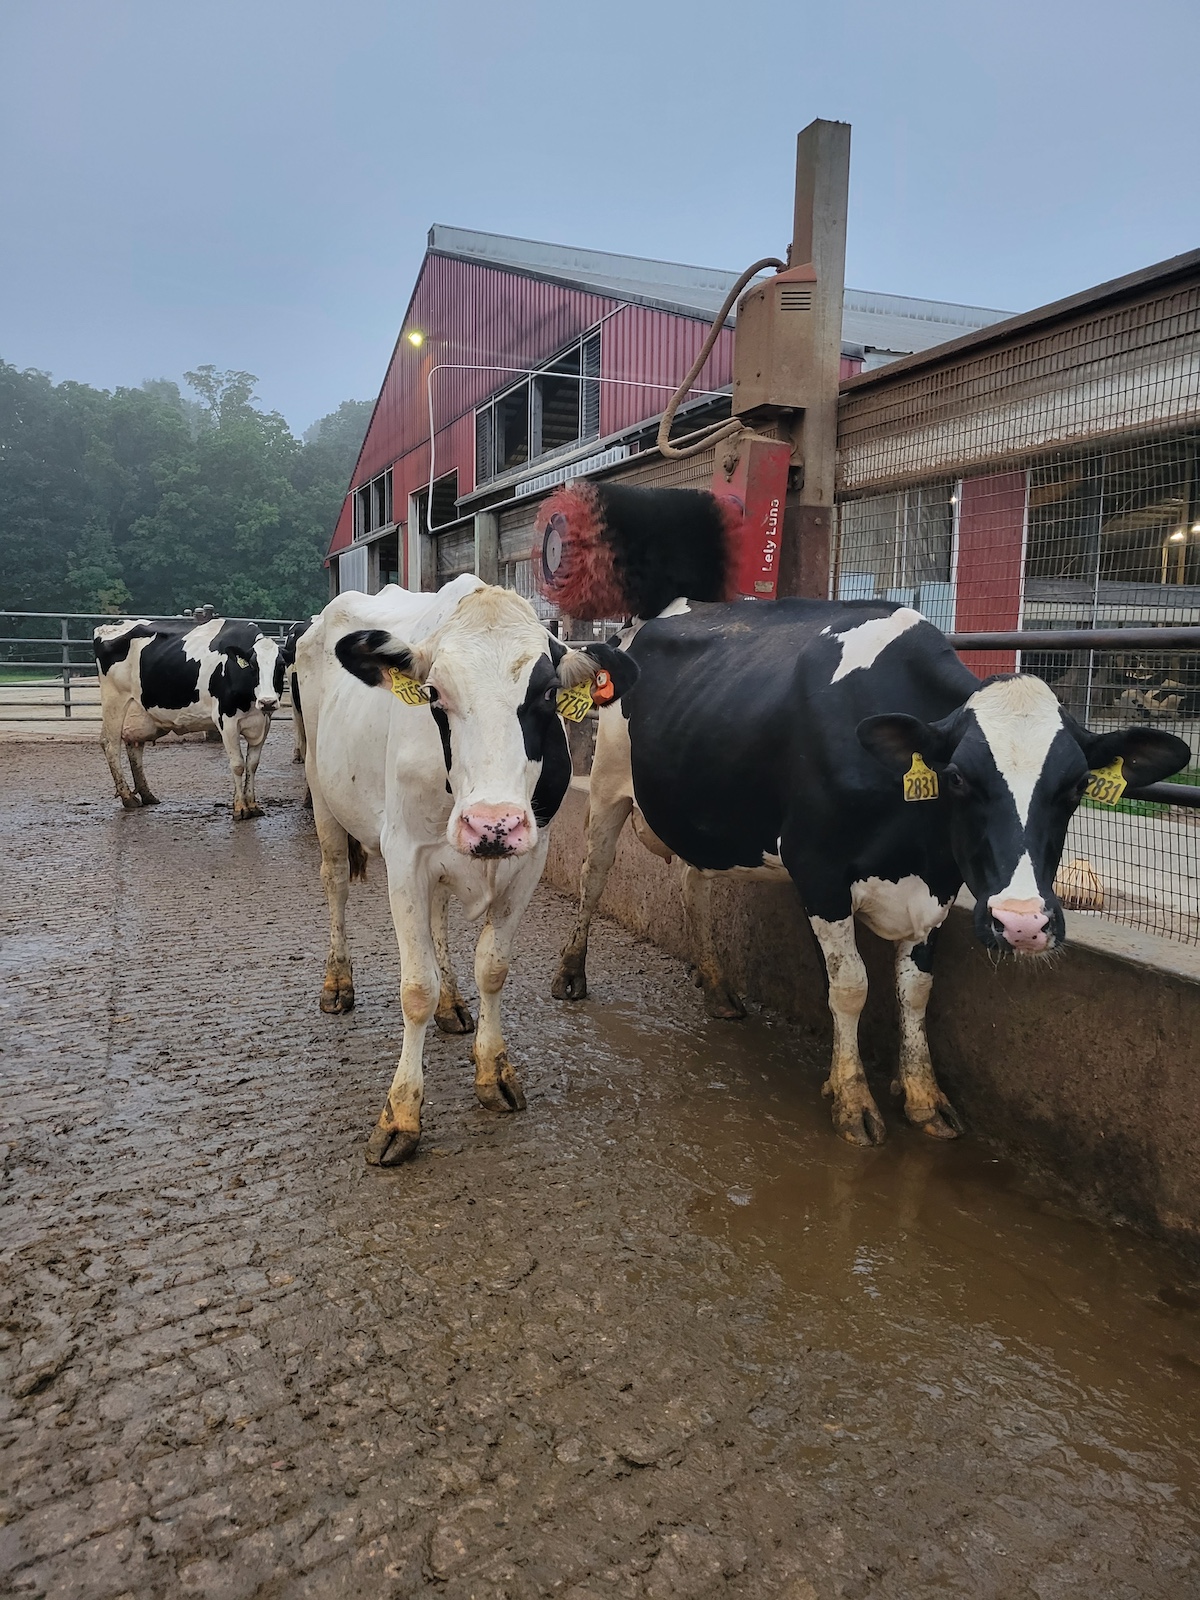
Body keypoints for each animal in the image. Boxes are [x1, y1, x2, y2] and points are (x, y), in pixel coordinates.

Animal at [94, 617, 283, 818]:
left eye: (281, 665)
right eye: (254, 666)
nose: (267, 701)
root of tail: (111, 625)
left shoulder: (264, 722)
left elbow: (252, 764)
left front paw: (252, 805)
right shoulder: (227, 720)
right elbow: (238, 764)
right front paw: (240, 808)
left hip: (138, 711)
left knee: (134, 746)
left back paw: (147, 795)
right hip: (114, 701)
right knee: (110, 744)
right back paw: (128, 796)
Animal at [295, 574, 637, 1167]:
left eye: (546, 693)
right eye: (434, 693)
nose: (492, 823)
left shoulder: (530, 856)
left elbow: (492, 968)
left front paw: (493, 1072)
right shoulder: (404, 856)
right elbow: (415, 990)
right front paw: (401, 1115)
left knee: (439, 917)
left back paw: (453, 1004)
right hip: (323, 792)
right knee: (335, 881)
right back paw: (338, 981)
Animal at [552, 599, 1190, 1146]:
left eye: (1076, 786)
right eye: (959, 777)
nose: (1023, 923)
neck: (913, 846)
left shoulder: (937, 886)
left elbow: (916, 989)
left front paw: (925, 1097)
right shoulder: (820, 870)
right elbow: (851, 986)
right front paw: (852, 1099)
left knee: (694, 884)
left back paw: (717, 988)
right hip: (608, 783)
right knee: (593, 874)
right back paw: (571, 974)